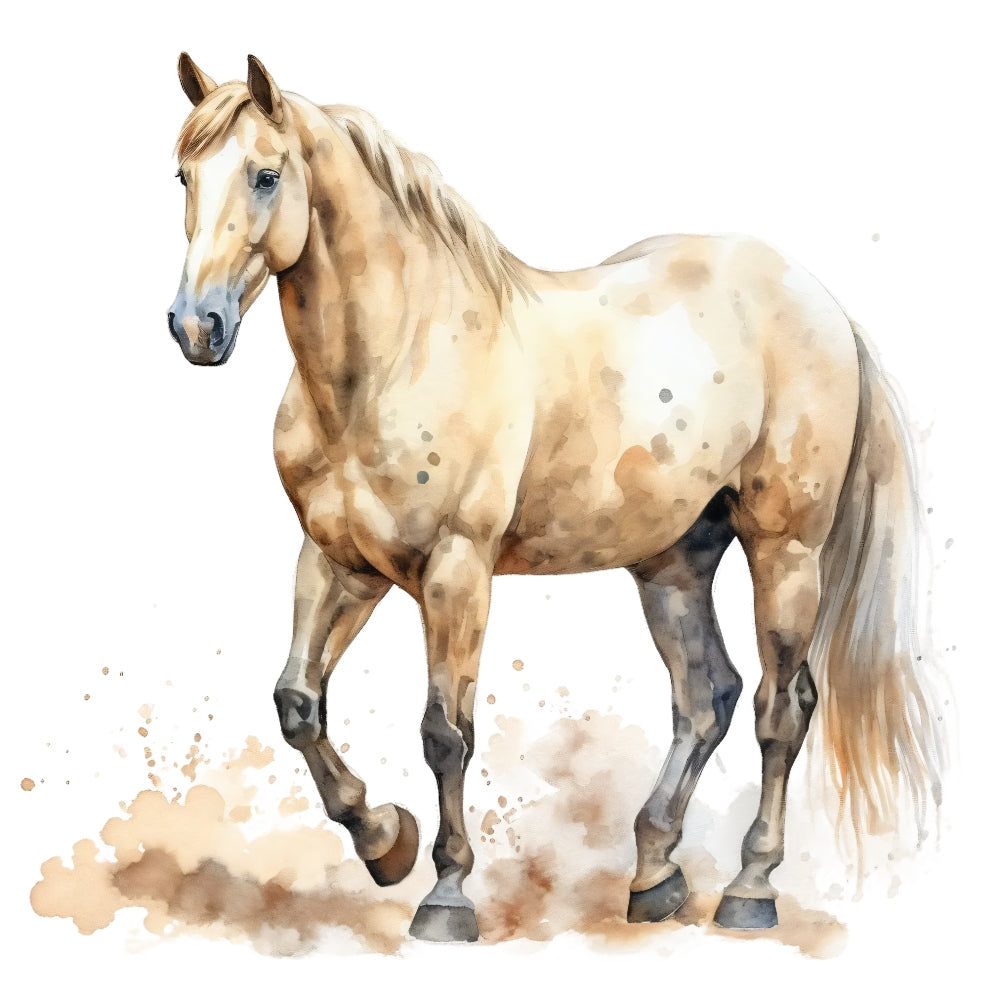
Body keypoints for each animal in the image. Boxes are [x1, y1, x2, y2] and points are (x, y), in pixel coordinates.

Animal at [167, 53, 942, 943]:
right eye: (183, 175)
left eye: (265, 174)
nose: (196, 326)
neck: (399, 352)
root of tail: (822, 305)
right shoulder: (339, 562)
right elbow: (297, 702)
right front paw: (384, 840)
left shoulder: (456, 570)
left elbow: (445, 731)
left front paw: (446, 897)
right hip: (673, 565)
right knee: (705, 699)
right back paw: (654, 875)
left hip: (786, 552)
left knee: (782, 707)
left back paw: (750, 888)